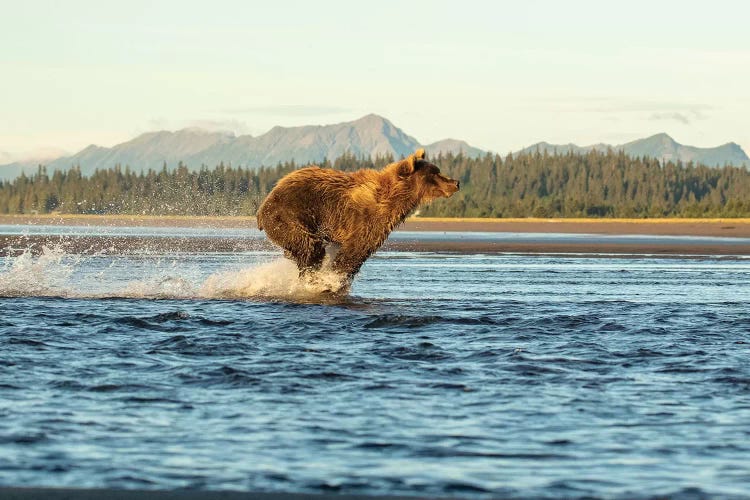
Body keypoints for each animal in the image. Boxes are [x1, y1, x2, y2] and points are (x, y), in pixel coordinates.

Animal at [258, 147, 458, 286]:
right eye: (435, 172)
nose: (456, 182)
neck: (394, 198)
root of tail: (263, 207)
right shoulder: (365, 220)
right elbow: (355, 251)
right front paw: (333, 280)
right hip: (289, 214)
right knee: (310, 247)